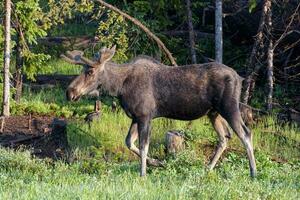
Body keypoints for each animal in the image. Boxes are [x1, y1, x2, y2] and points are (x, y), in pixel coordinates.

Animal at [62, 46, 256, 177]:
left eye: (90, 71)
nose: (70, 92)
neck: (119, 88)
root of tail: (239, 77)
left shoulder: (145, 115)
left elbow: (143, 145)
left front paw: (143, 174)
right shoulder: (136, 117)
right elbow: (129, 142)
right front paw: (158, 163)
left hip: (229, 107)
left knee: (245, 133)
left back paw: (253, 172)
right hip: (213, 112)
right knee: (225, 137)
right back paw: (208, 169)